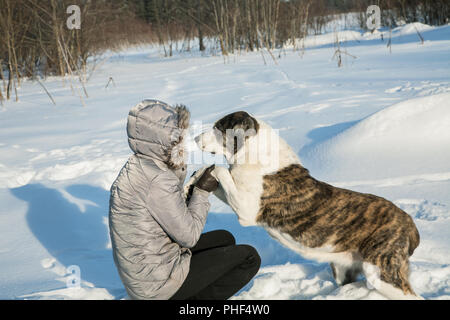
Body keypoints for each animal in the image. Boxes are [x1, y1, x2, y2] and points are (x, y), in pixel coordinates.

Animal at [187, 110, 422, 300]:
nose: (195, 137)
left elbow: (220, 170)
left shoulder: (247, 210)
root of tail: (409, 223)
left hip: (382, 272)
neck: (253, 153)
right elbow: (213, 175)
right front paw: (193, 181)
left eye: (219, 128)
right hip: (343, 268)